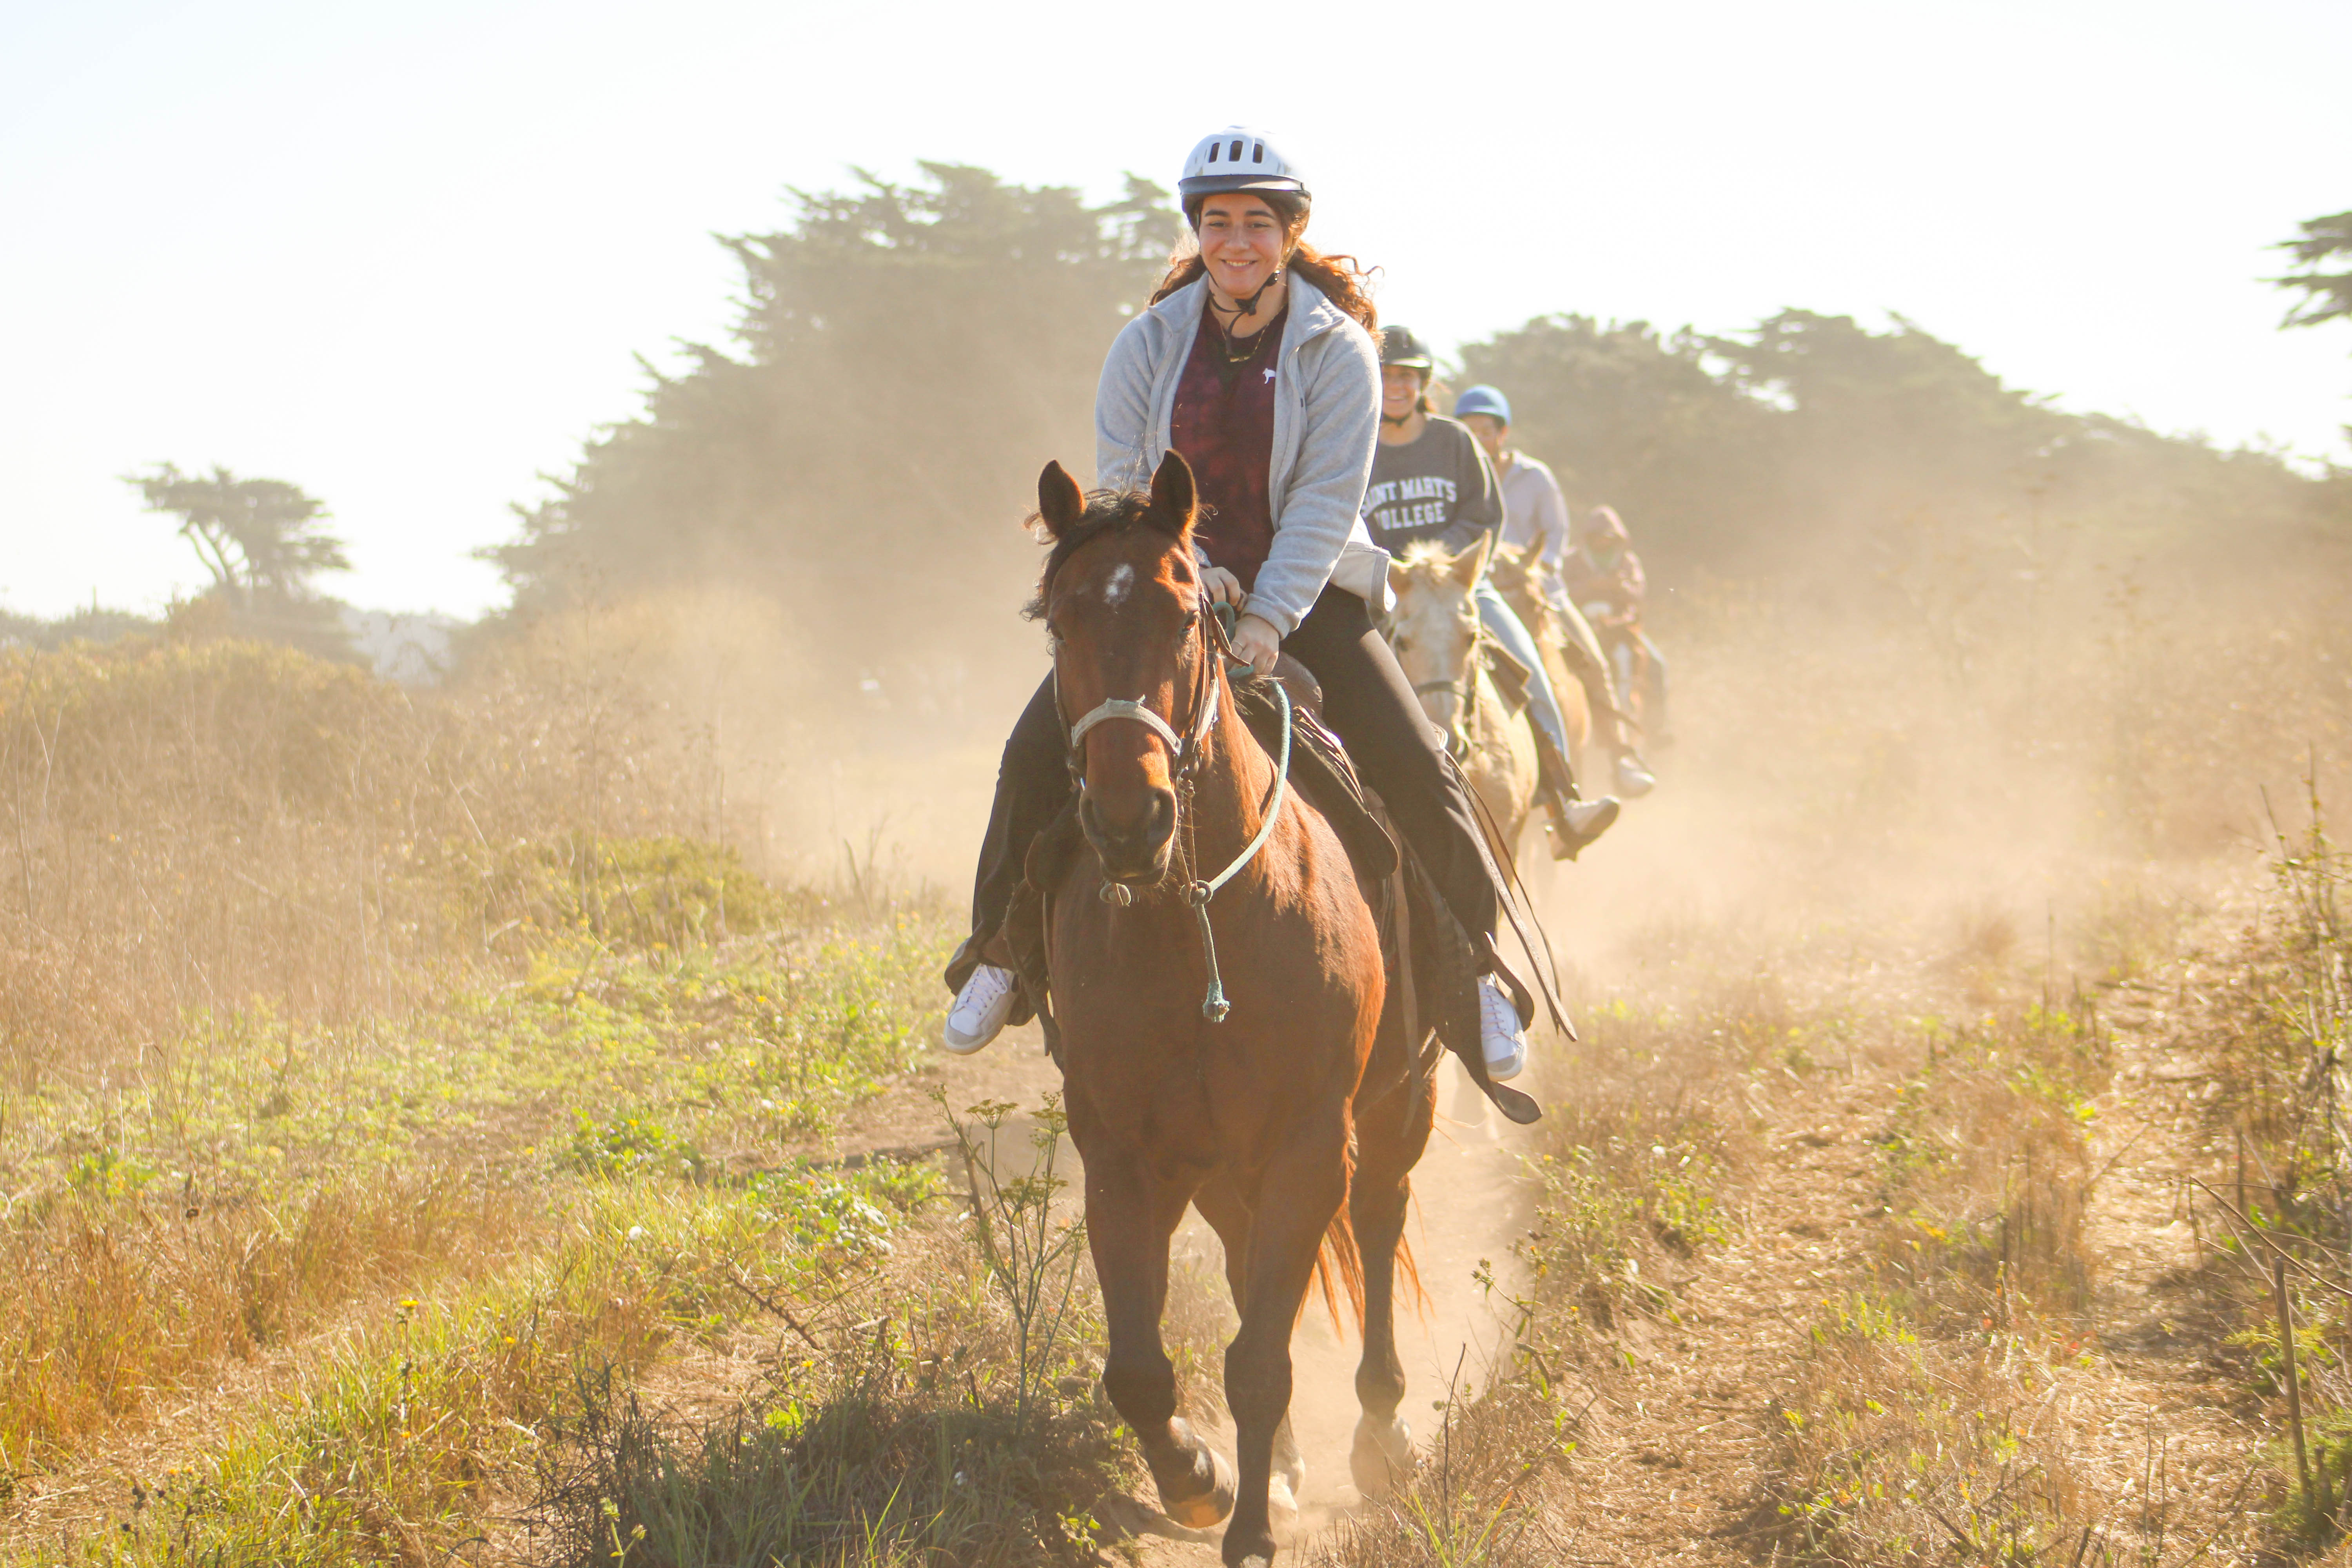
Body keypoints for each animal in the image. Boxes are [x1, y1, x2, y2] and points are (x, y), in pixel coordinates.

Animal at [1035, 454, 1430, 1568]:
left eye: (1183, 616)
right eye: (1059, 623)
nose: (1131, 820)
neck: (1195, 919)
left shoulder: (1310, 1143)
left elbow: (1260, 1360)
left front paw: (1250, 1529)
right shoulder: (1124, 1155)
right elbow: (1140, 1367)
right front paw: (1202, 1479)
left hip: (1398, 1107)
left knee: (1378, 1220)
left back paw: (1379, 1430)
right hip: (1221, 1168)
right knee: (1256, 1265)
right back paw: (1287, 1464)